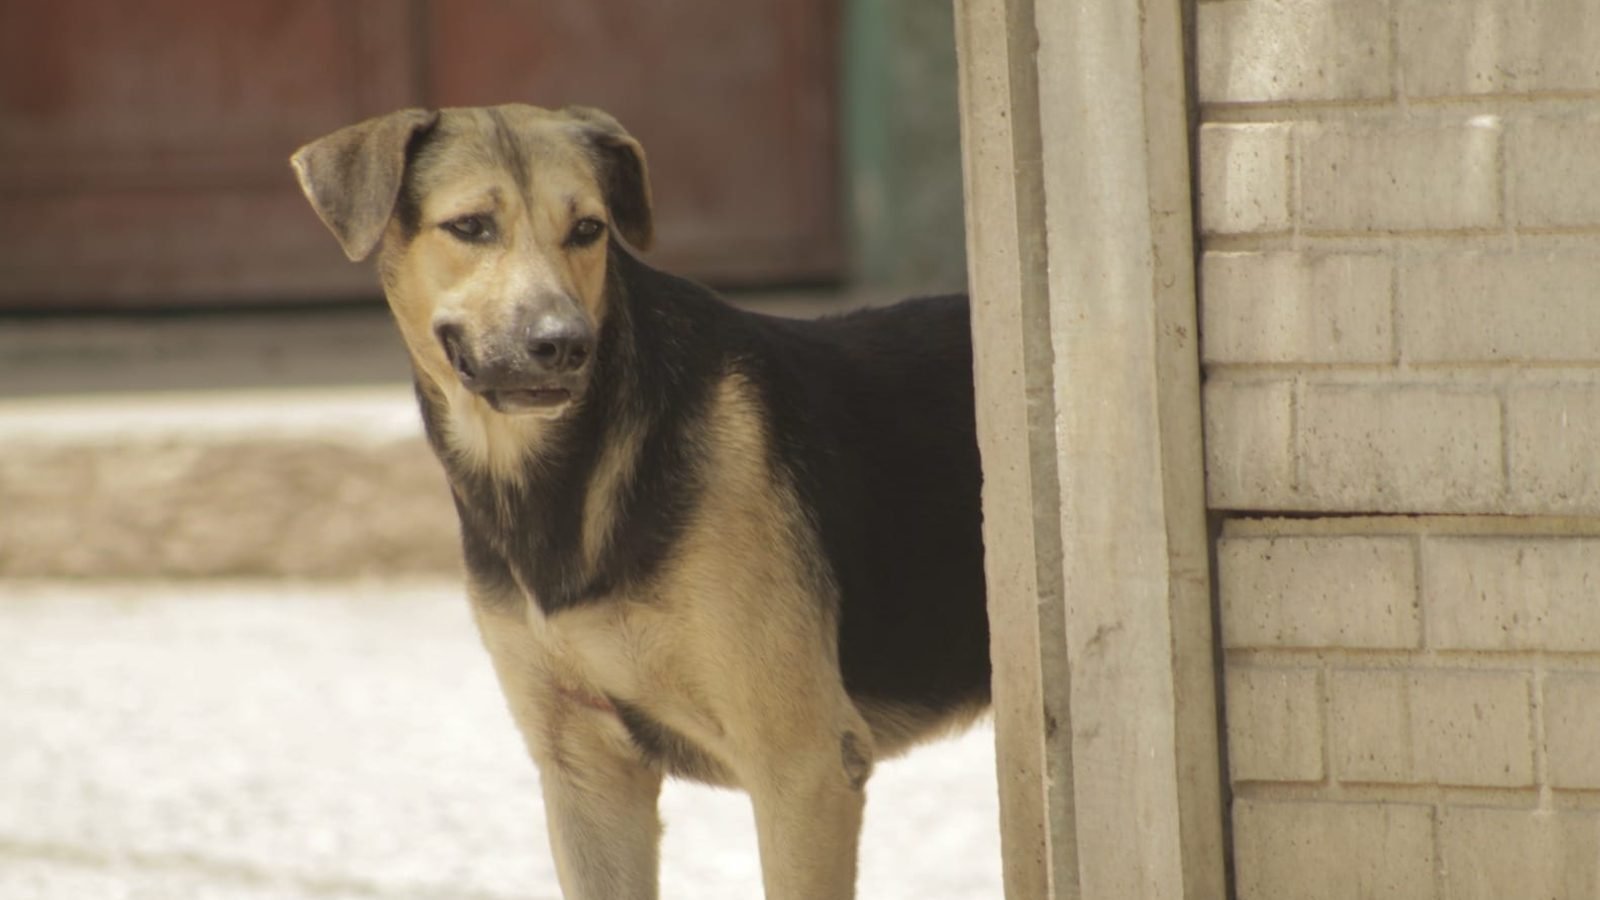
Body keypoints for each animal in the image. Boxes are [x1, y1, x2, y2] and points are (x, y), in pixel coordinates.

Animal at [291, 106, 985, 896]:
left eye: (588, 229)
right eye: (470, 226)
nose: (564, 344)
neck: (563, 476)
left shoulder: (805, 766)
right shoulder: (585, 772)